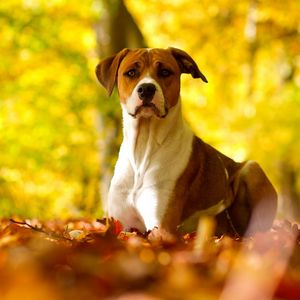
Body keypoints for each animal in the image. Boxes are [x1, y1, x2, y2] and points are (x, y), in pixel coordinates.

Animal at [95, 48, 276, 240]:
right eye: (131, 73)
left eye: (165, 72)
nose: (146, 89)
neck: (143, 147)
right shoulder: (120, 223)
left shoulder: (162, 226)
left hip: (252, 168)